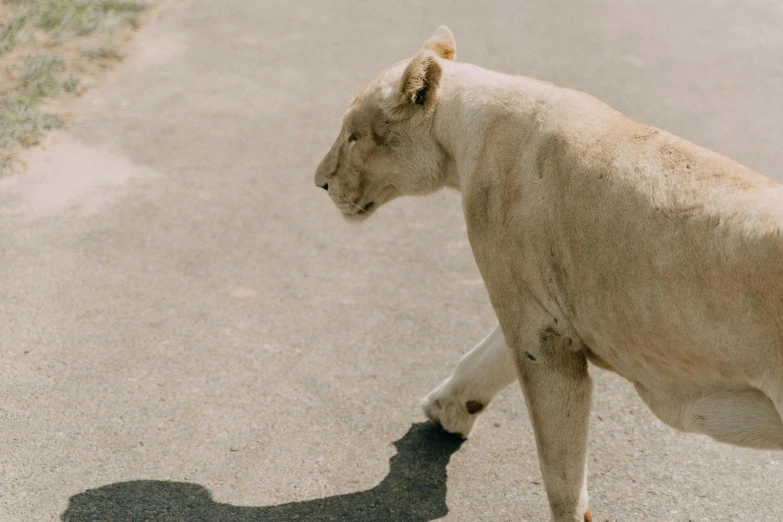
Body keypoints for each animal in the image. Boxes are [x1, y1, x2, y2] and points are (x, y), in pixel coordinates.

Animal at [312, 26, 783, 516]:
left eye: (353, 136)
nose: (319, 181)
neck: (467, 129)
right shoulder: (537, 312)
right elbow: (484, 358)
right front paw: (447, 408)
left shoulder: (545, 339)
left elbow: (561, 473)